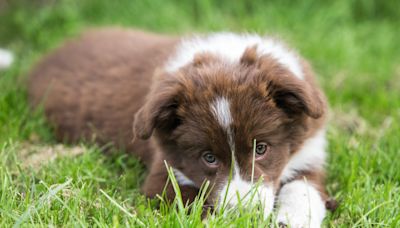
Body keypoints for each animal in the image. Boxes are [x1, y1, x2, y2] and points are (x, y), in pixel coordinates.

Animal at [28, 27, 332, 227]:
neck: (223, 58)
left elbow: (305, 189)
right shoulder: (164, 172)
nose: (242, 214)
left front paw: (293, 219)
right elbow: (190, 202)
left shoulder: (307, 152)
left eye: (261, 149)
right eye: (208, 158)